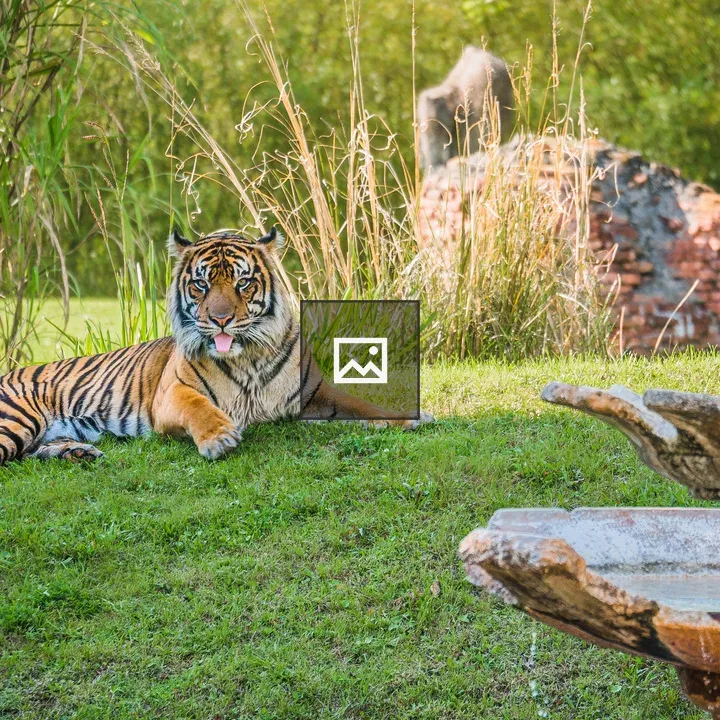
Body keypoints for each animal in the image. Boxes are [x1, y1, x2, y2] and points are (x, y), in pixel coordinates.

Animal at [0, 227, 432, 464]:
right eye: (201, 284)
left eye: (243, 282)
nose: (220, 319)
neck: (249, 356)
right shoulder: (171, 393)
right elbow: (200, 407)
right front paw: (220, 438)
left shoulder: (314, 394)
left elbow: (361, 403)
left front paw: (414, 416)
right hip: (16, 418)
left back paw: (79, 453)